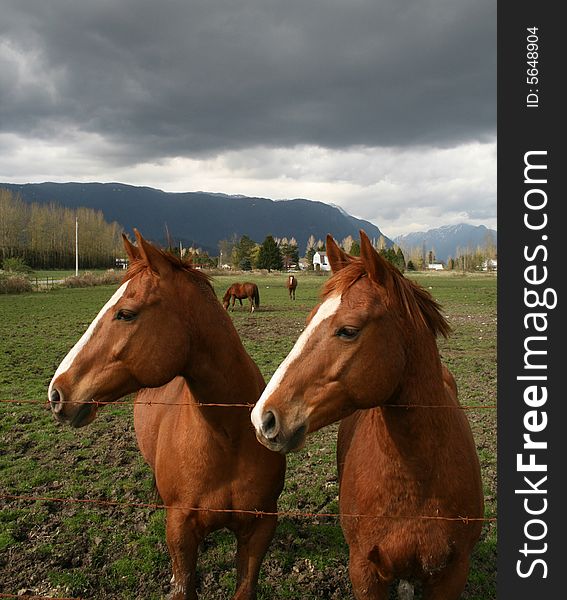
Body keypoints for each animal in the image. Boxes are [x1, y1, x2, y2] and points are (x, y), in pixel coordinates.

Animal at [48, 231, 286, 600]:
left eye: (125, 314)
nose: (57, 392)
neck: (229, 439)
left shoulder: (260, 526)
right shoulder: (180, 529)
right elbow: (183, 584)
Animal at [253, 231, 484, 600]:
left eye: (348, 330)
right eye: (310, 318)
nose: (264, 417)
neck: (416, 479)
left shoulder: (452, 575)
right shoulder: (363, 571)